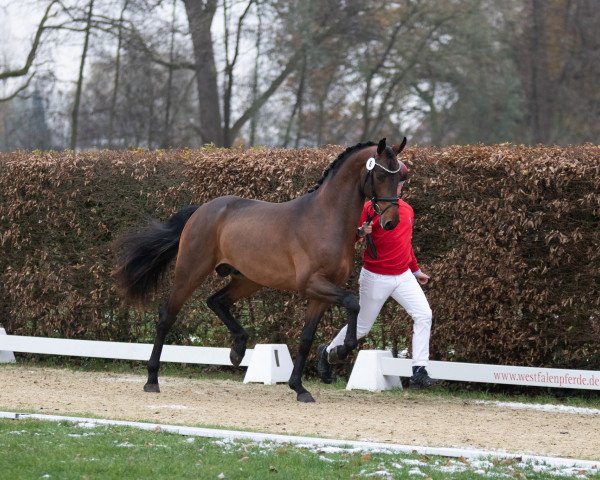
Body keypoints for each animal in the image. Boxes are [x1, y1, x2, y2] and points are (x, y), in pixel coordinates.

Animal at [113, 138, 408, 402]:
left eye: (401, 176)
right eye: (381, 173)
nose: (391, 222)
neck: (325, 219)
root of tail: (202, 210)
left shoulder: (321, 293)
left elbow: (306, 338)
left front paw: (300, 387)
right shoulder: (312, 284)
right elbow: (353, 302)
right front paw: (340, 352)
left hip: (248, 280)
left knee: (216, 301)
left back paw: (238, 350)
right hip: (191, 272)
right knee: (167, 315)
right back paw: (152, 379)